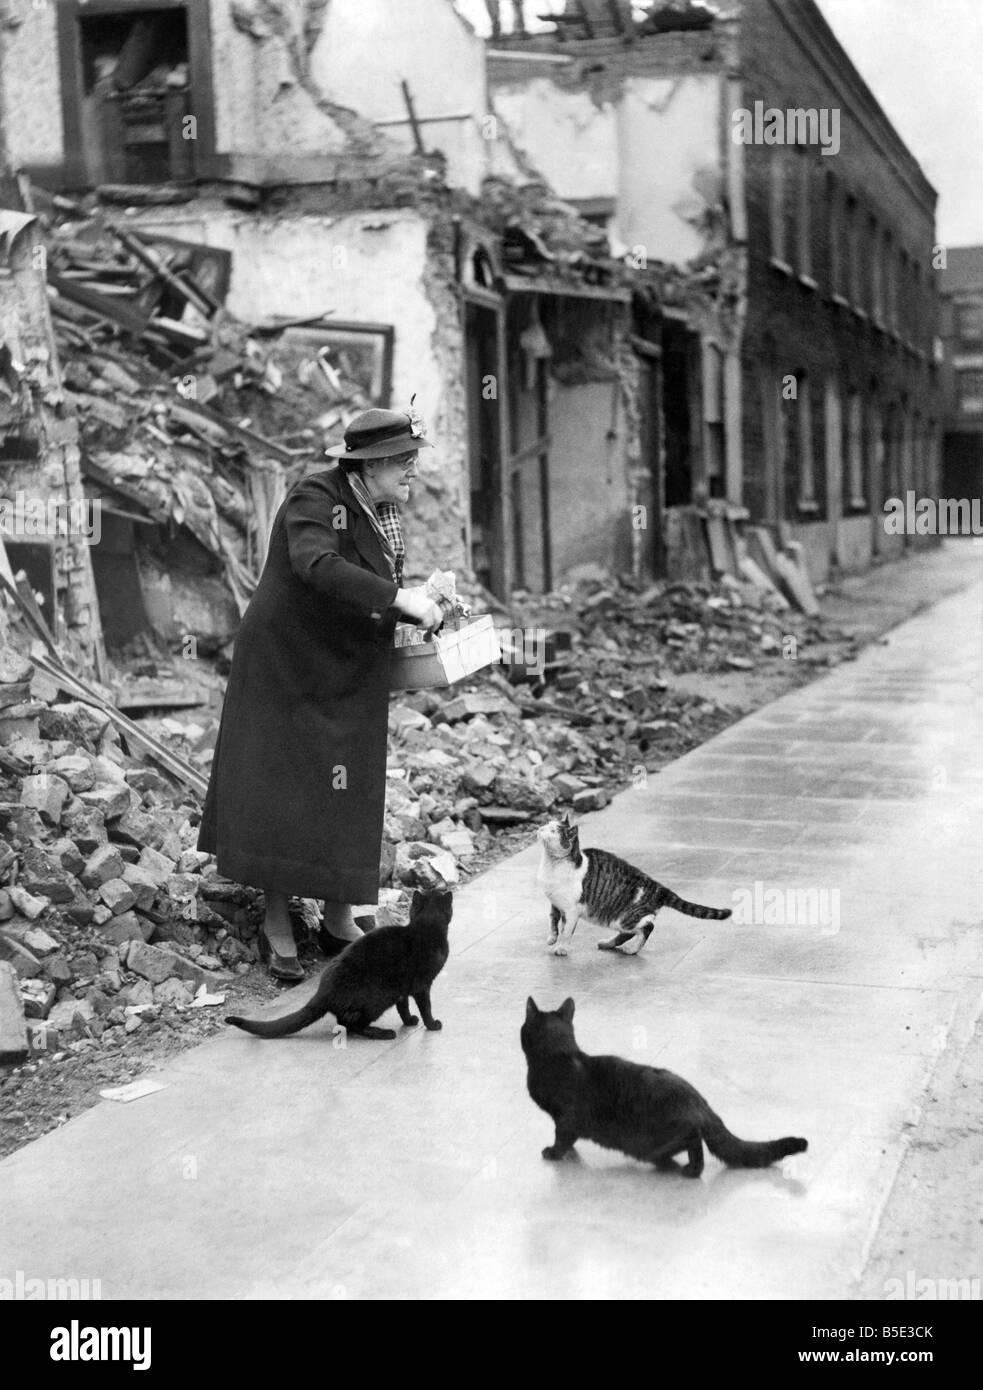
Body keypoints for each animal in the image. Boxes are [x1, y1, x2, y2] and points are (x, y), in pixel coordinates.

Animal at [225, 889, 450, 1045]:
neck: (426, 929)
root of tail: (322, 993)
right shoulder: (422, 984)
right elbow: (426, 1007)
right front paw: (432, 1024)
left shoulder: (402, 989)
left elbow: (403, 1007)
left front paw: (409, 1020)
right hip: (378, 998)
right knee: (351, 1024)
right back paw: (382, 1033)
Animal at [522, 995, 806, 1178]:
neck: (559, 1057)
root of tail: (699, 1100)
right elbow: (566, 1137)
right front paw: (569, 1151)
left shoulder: (566, 1117)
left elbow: (562, 1136)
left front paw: (554, 1152)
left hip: (656, 1136)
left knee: (695, 1139)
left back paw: (692, 1170)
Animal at [539, 811, 728, 956]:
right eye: (547, 824)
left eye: (553, 831)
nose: (540, 828)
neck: (551, 865)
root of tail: (658, 887)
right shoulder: (555, 904)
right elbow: (553, 922)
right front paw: (552, 939)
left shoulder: (571, 910)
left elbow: (566, 931)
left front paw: (561, 948)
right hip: (617, 920)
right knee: (628, 933)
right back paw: (608, 943)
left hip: (624, 918)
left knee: (647, 927)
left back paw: (632, 949)